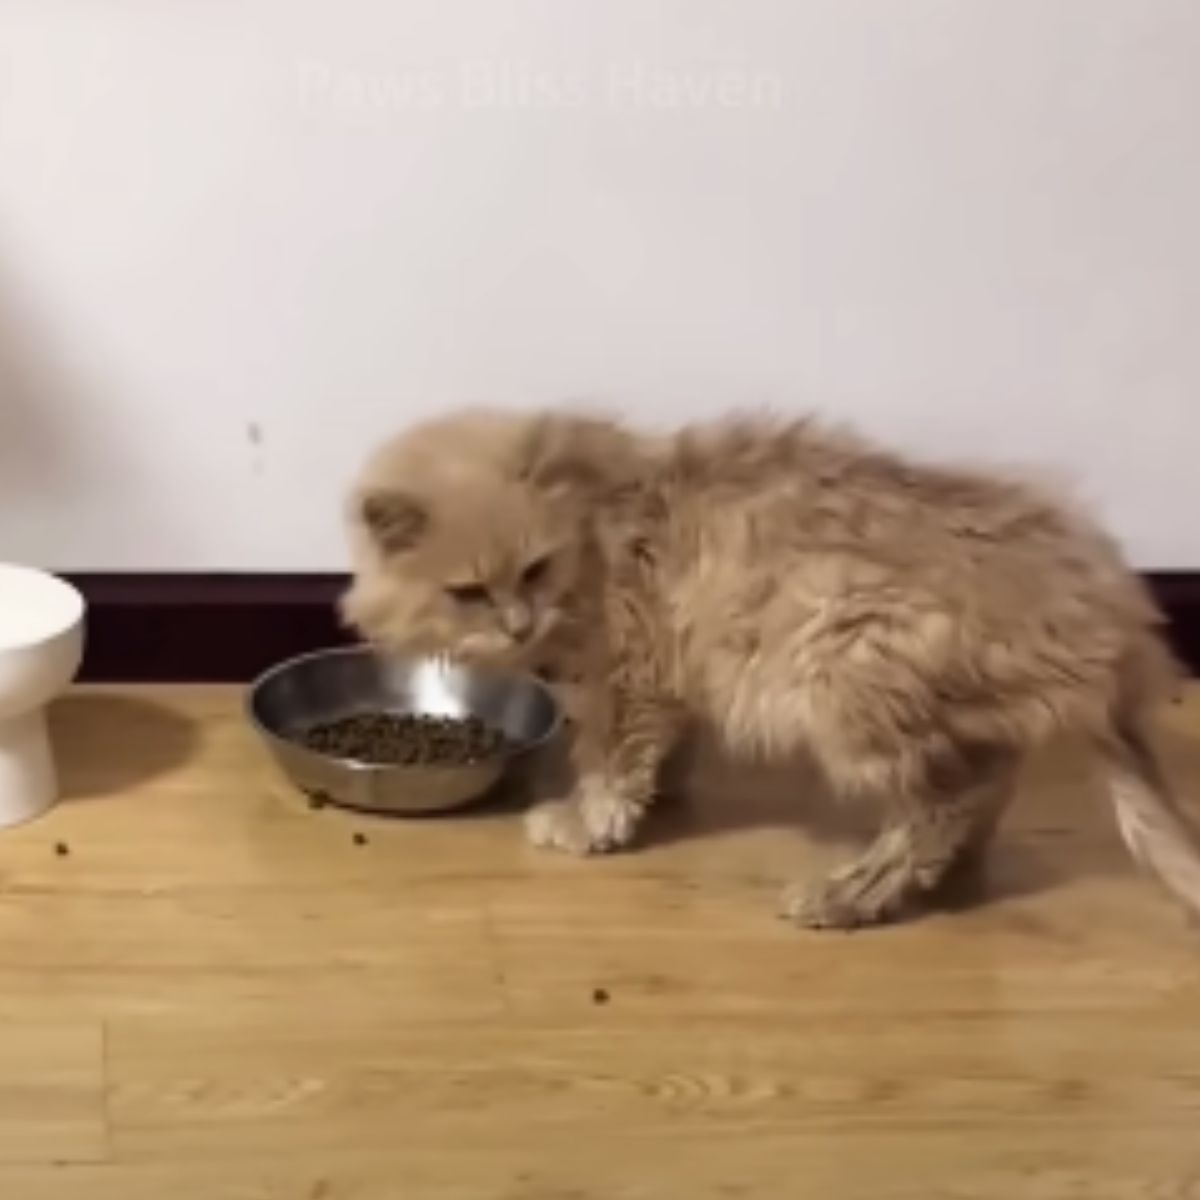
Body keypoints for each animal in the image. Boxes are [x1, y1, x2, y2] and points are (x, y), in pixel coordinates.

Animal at [340, 408, 1200, 921]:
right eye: (469, 593)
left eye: (535, 571)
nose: (520, 623)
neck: (593, 521)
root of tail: (1107, 613)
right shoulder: (670, 676)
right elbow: (662, 751)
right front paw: (665, 794)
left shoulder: (629, 670)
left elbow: (610, 766)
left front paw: (588, 822)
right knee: (988, 783)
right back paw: (949, 877)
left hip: (843, 667)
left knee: (940, 810)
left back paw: (848, 897)